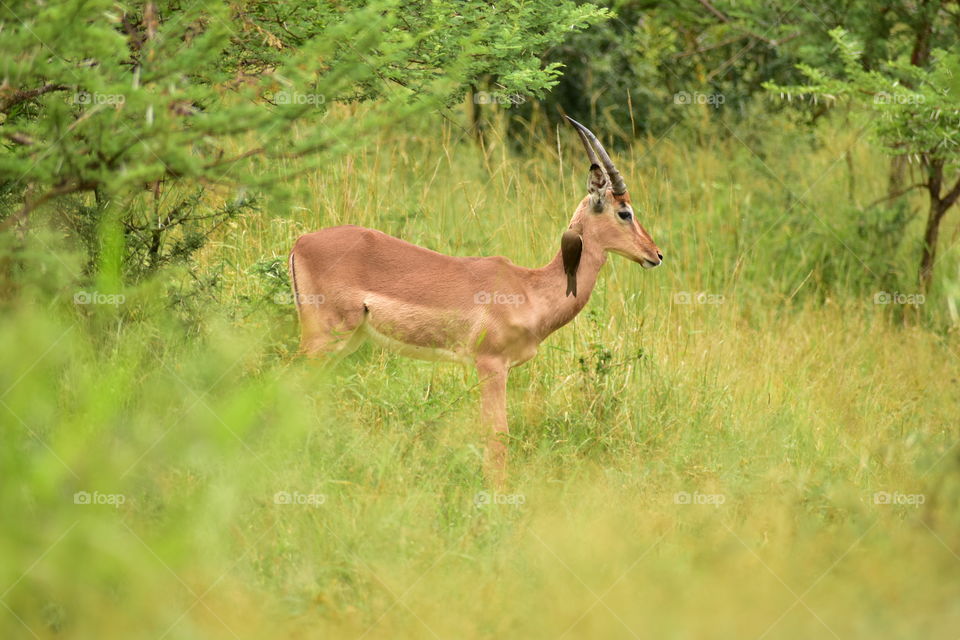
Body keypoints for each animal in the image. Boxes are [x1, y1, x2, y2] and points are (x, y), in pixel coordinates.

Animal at [289, 117, 662, 482]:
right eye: (625, 211)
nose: (656, 255)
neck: (530, 288)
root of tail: (300, 243)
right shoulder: (491, 365)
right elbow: (497, 435)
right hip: (322, 338)